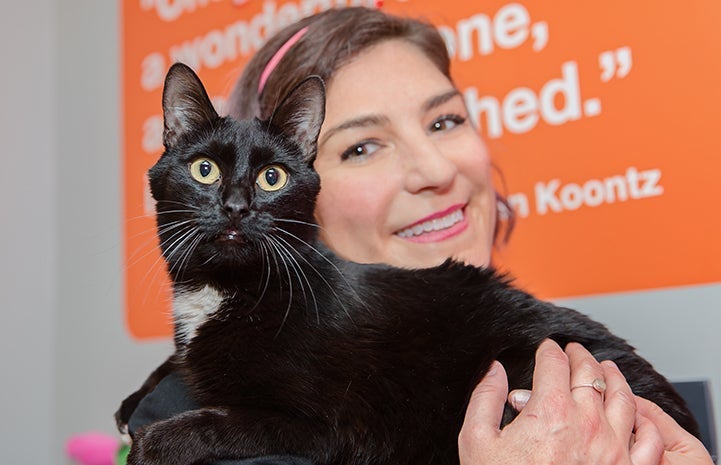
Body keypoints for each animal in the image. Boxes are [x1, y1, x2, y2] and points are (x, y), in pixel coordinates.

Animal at [118, 63, 696, 464]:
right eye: (205, 169)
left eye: (272, 178)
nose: (237, 207)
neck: (226, 289)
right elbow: (178, 361)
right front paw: (135, 400)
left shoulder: (327, 426)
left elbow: (221, 421)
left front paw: (155, 440)